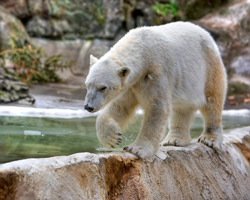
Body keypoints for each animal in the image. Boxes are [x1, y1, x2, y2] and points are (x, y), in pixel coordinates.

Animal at [85, 21, 228, 159]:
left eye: (103, 87)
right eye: (87, 85)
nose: (88, 107)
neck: (142, 48)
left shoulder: (156, 73)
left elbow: (156, 107)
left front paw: (137, 149)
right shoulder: (132, 84)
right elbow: (120, 106)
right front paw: (112, 138)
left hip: (209, 65)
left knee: (212, 99)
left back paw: (209, 138)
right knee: (182, 108)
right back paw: (174, 140)